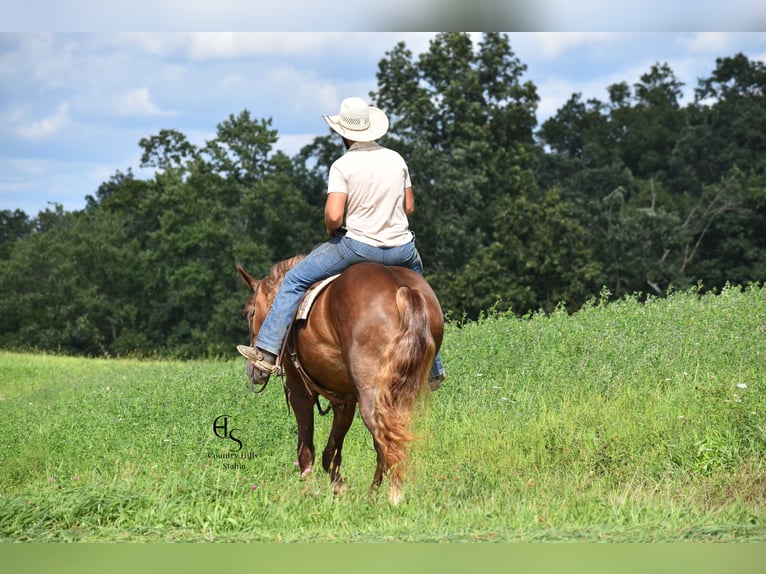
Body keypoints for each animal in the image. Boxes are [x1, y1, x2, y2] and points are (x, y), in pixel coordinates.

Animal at [237, 257, 443, 504]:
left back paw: (393, 496)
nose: (253, 372)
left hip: (373, 397)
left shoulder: (300, 392)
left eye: (248, 313)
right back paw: (374, 494)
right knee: (390, 441)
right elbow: (331, 452)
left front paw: (311, 494)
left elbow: (306, 450)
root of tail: (403, 289)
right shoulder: (343, 399)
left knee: (386, 441)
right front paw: (341, 487)